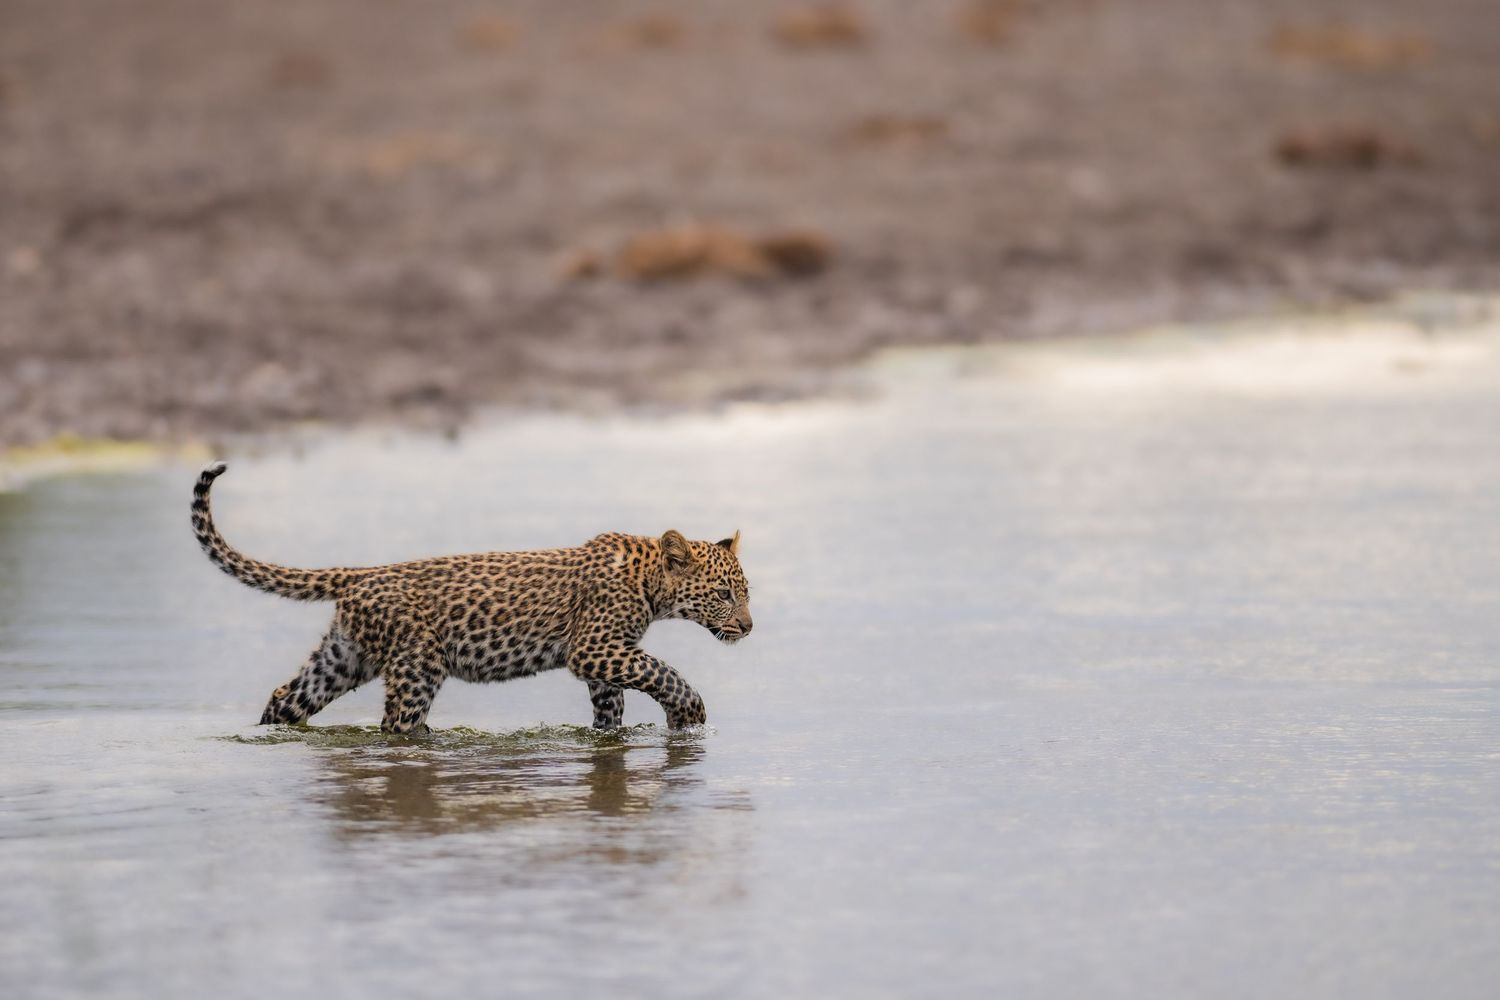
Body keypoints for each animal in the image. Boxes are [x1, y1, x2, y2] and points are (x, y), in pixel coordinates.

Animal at [189, 461, 752, 734]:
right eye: (724, 594)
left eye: (744, 593)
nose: (748, 627)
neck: (652, 581)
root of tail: (360, 575)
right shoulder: (594, 648)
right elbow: (663, 671)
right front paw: (689, 714)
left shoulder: (607, 658)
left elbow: (613, 706)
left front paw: (612, 740)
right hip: (418, 664)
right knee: (396, 725)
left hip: (343, 658)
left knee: (286, 698)